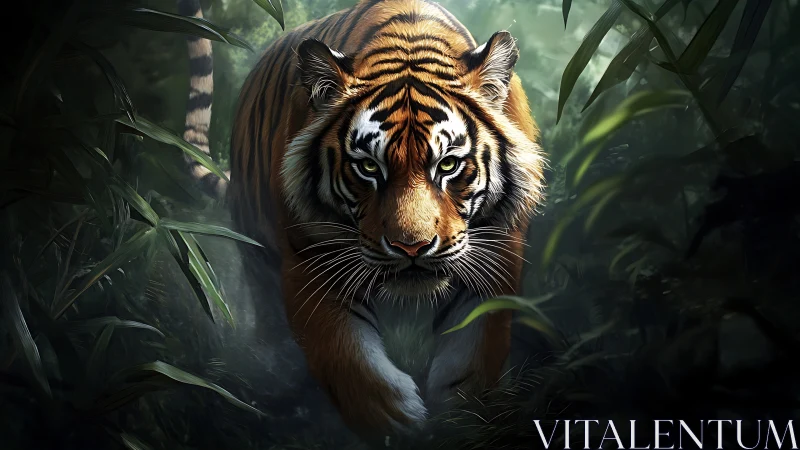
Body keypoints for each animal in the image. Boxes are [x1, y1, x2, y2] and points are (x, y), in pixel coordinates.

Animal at [177, 0, 546, 439]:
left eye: (448, 165)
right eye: (369, 167)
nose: (411, 247)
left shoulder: (496, 257)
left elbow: (471, 359)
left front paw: (459, 422)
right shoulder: (311, 258)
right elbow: (345, 355)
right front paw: (394, 422)